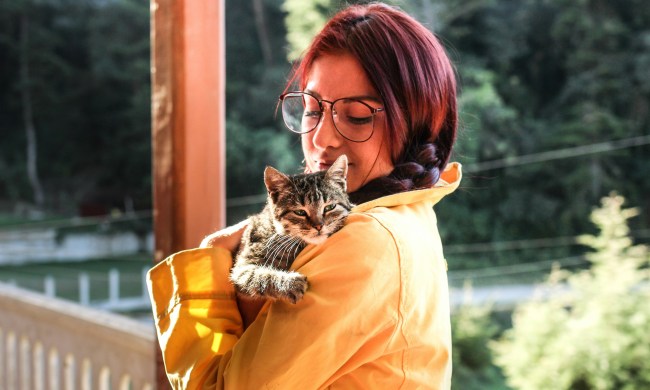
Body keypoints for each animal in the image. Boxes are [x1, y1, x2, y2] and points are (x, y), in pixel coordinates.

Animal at [228, 154, 350, 304]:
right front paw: (289, 284)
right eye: (300, 212)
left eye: (329, 207)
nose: (319, 226)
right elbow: (259, 276)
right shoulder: (242, 267)